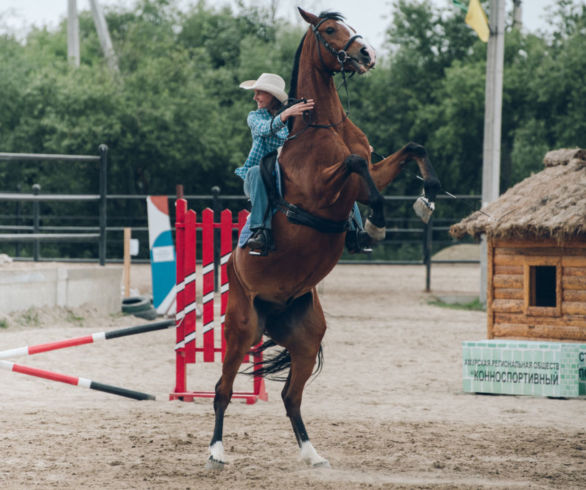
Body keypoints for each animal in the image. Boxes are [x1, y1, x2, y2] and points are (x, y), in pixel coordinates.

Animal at [206, 6, 438, 468]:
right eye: (330, 29)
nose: (366, 54)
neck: (323, 124)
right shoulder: (323, 188)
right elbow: (355, 167)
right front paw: (377, 223)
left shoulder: (370, 171)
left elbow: (409, 150)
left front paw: (430, 194)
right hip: (241, 330)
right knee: (223, 392)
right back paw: (217, 452)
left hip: (307, 338)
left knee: (290, 396)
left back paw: (312, 454)